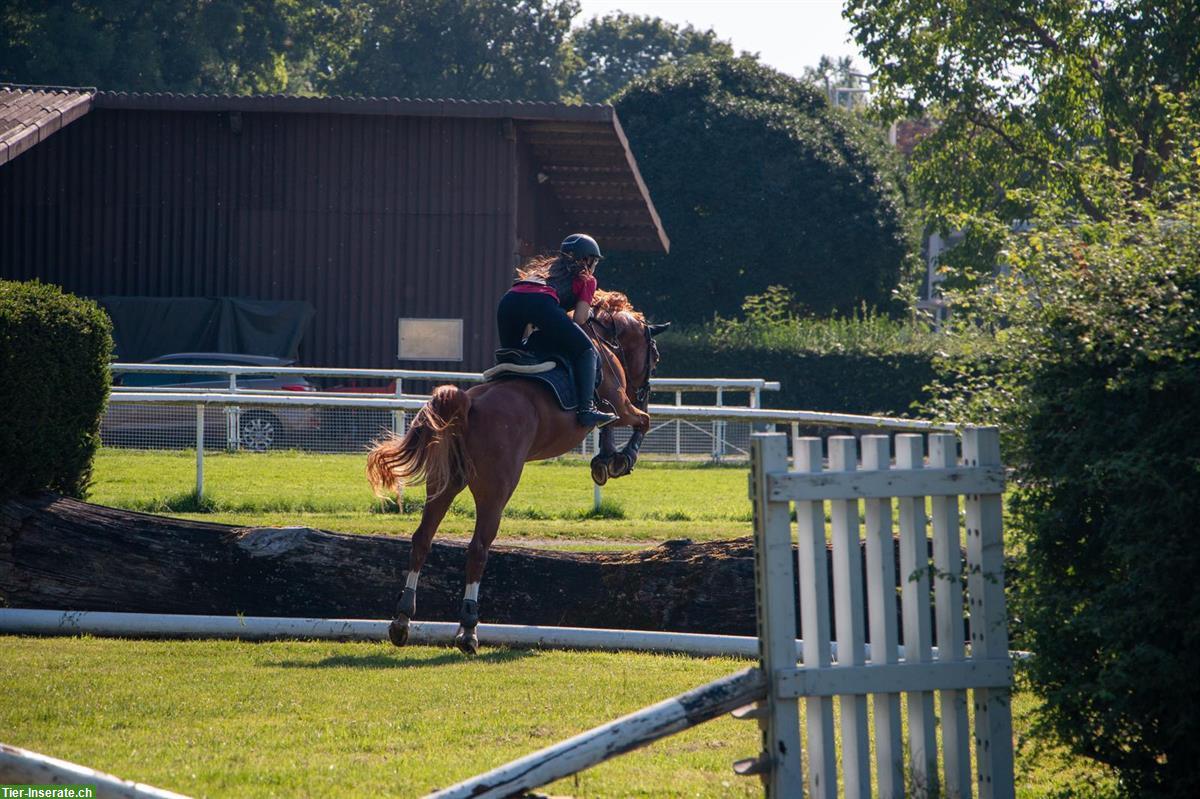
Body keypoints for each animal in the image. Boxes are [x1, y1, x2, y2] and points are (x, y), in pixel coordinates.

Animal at [364, 289, 667, 652]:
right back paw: (468, 629)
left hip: (445, 482)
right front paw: (623, 459)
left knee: (422, 538)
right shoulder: (619, 403)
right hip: (497, 488)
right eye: (654, 356)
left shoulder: (615, 406)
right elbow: (640, 421)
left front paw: (605, 461)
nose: (645, 392)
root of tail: (468, 404)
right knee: (478, 548)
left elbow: (611, 427)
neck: (604, 340)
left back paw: (402, 620)